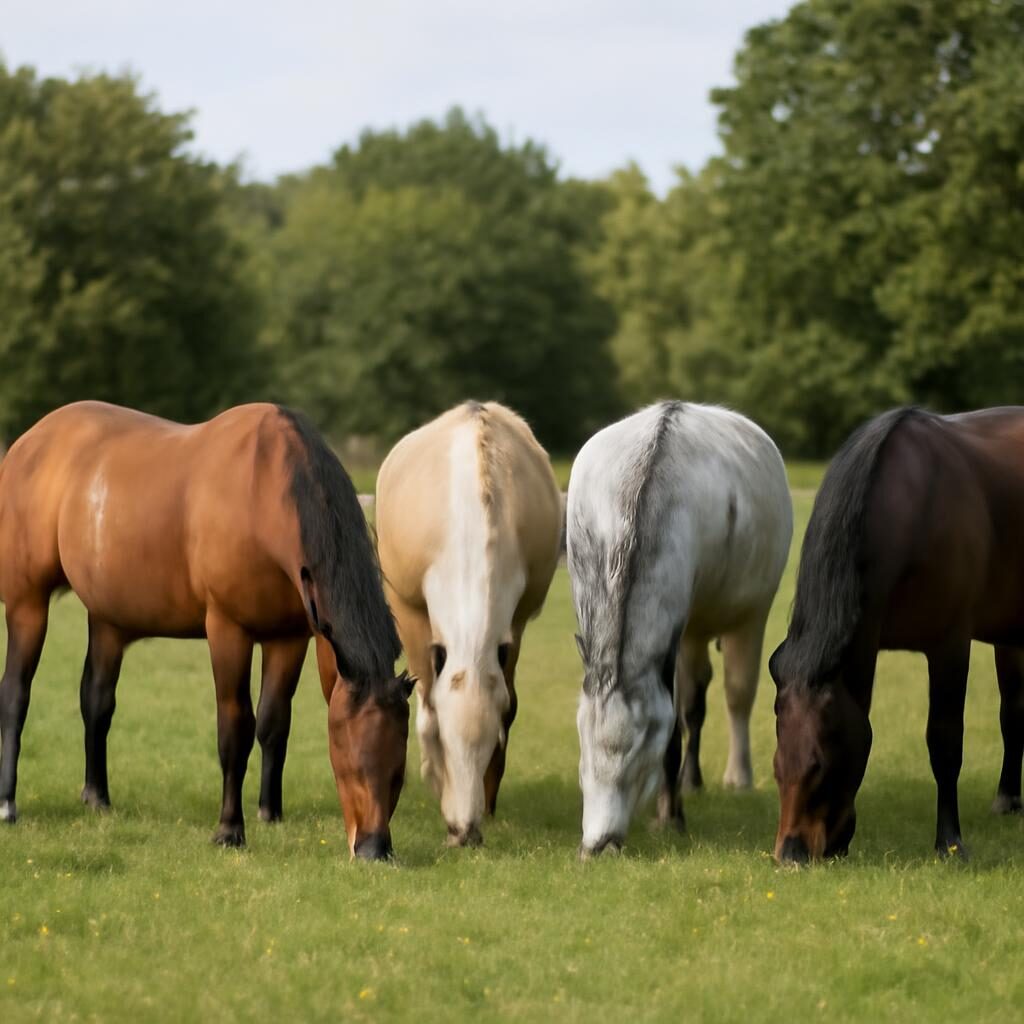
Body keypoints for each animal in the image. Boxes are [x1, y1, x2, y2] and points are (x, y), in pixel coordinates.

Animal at [0, 401, 412, 860]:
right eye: (347, 757)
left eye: (399, 768)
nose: (374, 848)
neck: (263, 490)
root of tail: (28, 441)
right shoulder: (228, 630)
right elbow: (236, 728)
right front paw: (229, 830)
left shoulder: (288, 638)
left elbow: (274, 723)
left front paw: (270, 812)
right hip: (27, 604)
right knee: (15, 694)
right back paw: (8, 804)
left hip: (108, 619)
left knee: (96, 701)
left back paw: (97, 797)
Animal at [375, 401, 562, 846]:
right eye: (445, 742)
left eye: (491, 742)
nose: (464, 833)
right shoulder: (413, 617)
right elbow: (427, 705)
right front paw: (435, 779)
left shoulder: (514, 625)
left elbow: (508, 702)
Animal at [567, 401, 792, 856]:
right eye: (582, 746)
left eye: (639, 754)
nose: (599, 844)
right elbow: (680, 717)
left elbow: (677, 726)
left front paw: (670, 816)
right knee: (695, 700)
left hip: (750, 613)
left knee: (735, 694)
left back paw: (736, 777)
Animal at [771, 406, 1024, 864]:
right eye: (777, 764)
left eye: (819, 764)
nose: (790, 854)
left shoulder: (950, 645)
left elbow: (945, 742)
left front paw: (950, 843)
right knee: (1014, 710)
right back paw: (1008, 799)